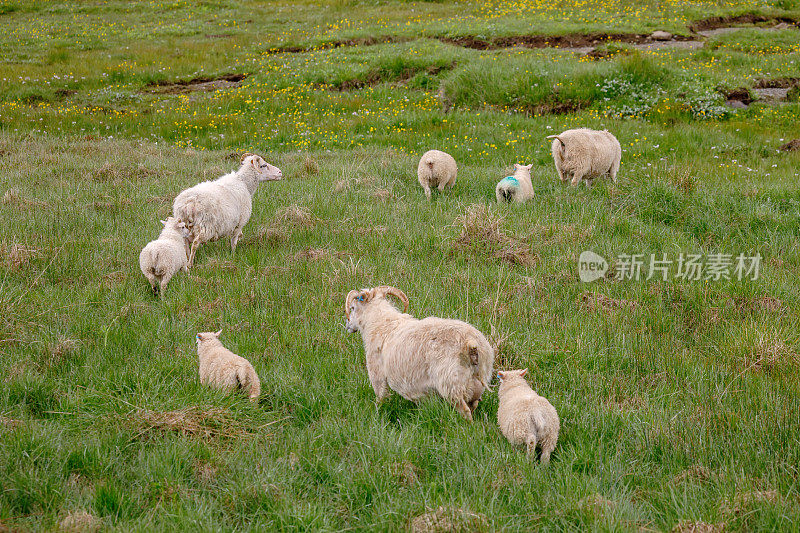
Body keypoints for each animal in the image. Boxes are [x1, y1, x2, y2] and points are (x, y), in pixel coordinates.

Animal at [344, 284, 494, 418]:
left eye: (352, 308)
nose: (348, 325)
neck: (379, 323)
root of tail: (471, 343)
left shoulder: (377, 374)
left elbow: (381, 397)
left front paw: (378, 412)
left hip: (451, 383)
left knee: (464, 411)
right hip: (476, 383)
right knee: (473, 405)